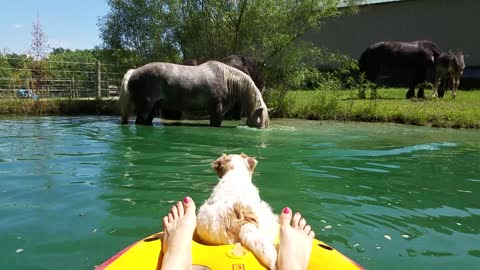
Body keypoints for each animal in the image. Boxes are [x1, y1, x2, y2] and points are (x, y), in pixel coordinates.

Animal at [119, 61, 270, 129]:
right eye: (259, 121)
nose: (262, 129)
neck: (227, 80)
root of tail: (134, 72)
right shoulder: (216, 111)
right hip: (145, 107)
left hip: (153, 107)